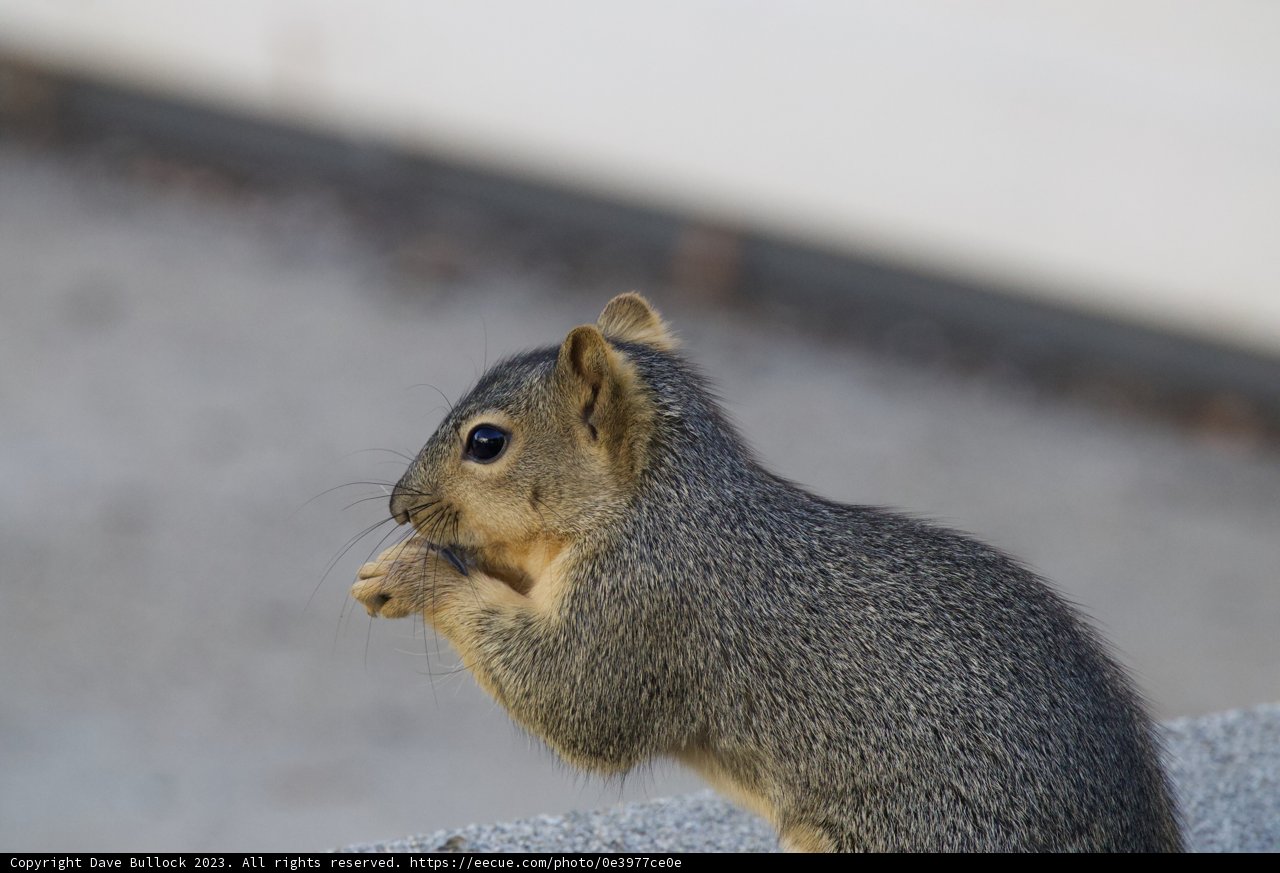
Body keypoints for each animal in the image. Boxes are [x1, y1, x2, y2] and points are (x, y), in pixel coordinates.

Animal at [351, 293, 1183, 852]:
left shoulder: (648, 607)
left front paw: (418, 571)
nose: (397, 506)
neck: (657, 503)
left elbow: (575, 699)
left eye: (487, 442)